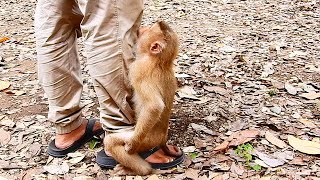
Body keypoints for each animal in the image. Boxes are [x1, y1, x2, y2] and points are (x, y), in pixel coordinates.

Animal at [103, 20, 181, 175]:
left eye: (149, 29)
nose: (142, 28)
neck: (160, 63)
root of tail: (162, 139)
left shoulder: (138, 70)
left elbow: (154, 106)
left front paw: (131, 146)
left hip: (146, 140)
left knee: (111, 142)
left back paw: (138, 169)